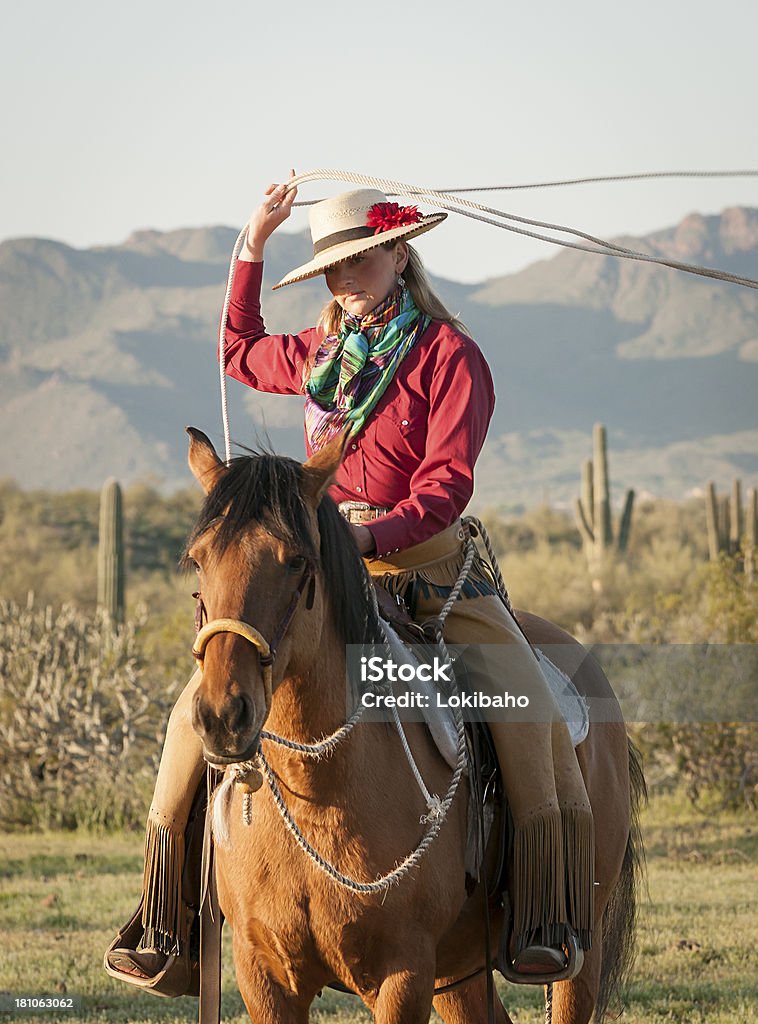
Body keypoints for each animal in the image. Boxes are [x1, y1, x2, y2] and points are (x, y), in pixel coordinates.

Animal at [183, 430, 647, 1024]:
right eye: (199, 560)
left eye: (295, 560)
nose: (221, 716)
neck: (321, 794)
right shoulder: (262, 975)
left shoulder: (403, 975)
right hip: (458, 972)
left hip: (573, 953)